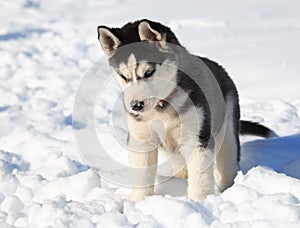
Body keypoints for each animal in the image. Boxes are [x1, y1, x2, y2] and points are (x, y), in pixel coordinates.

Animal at [96, 19, 276, 201]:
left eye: (149, 72)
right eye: (123, 76)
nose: (135, 105)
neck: (162, 106)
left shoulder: (197, 137)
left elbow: (200, 177)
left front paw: (200, 202)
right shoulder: (142, 139)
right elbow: (142, 176)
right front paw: (139, 202)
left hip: (227, 131)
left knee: (228, 163)